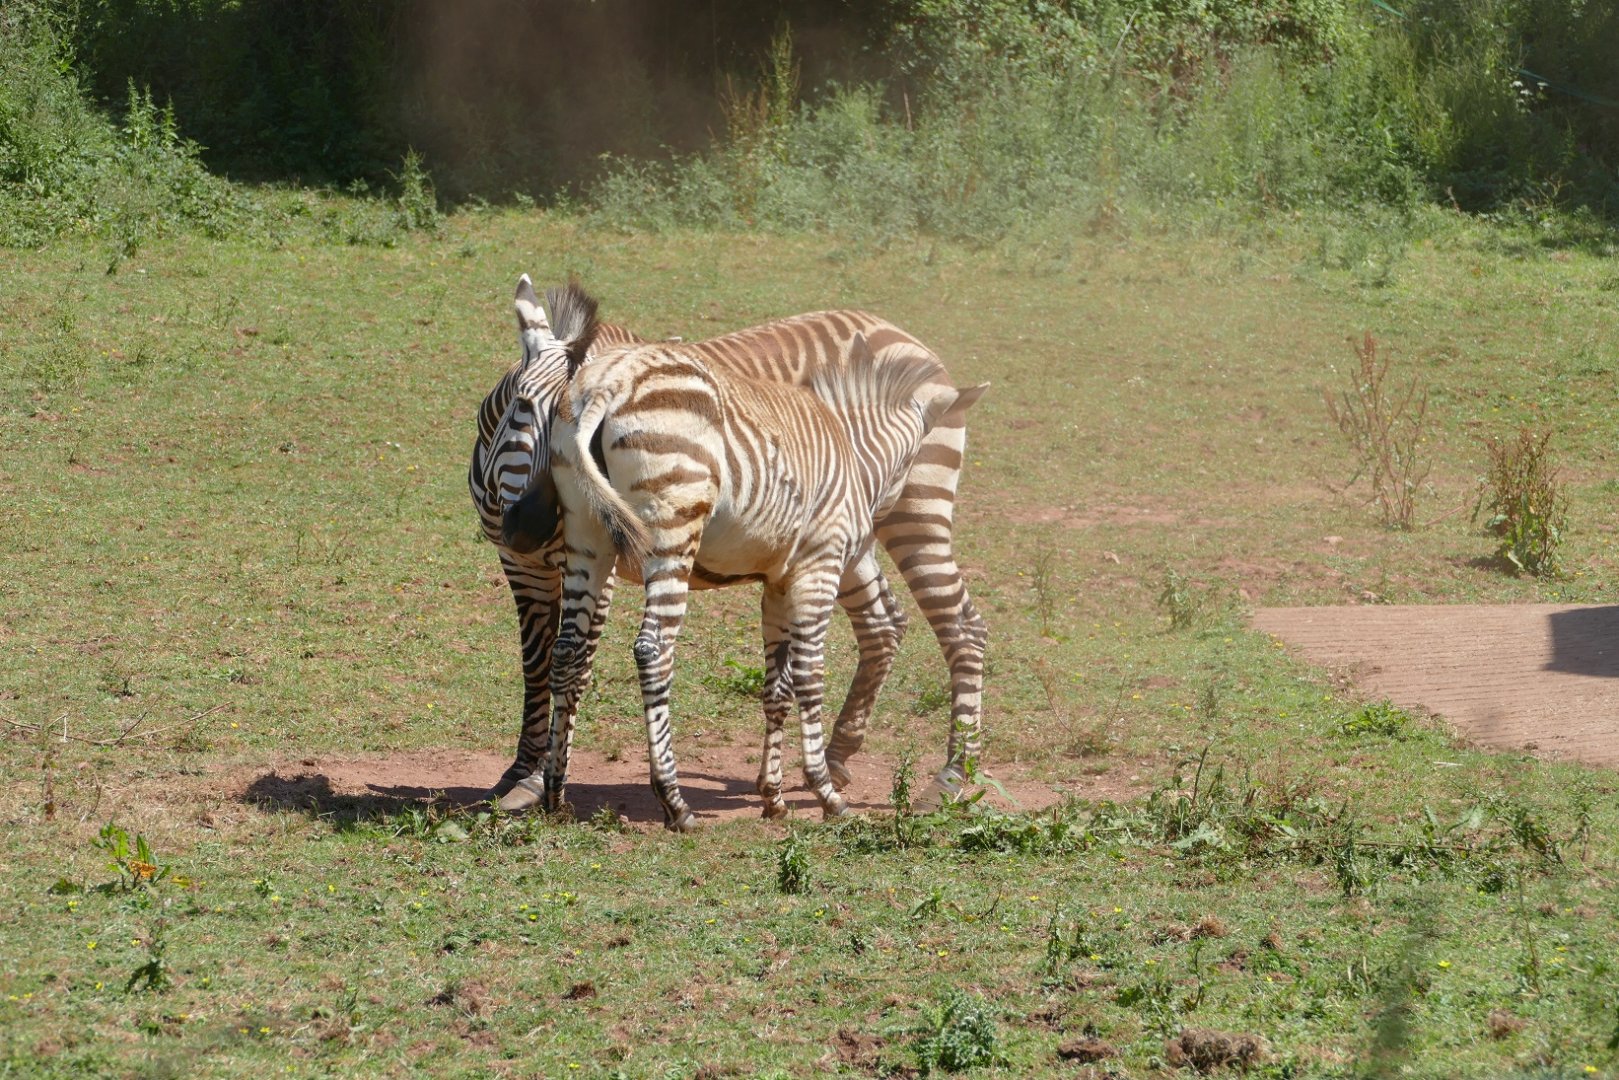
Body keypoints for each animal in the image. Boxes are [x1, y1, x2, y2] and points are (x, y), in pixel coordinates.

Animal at [470, 277, 990, 812]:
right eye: (525, 407)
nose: (529, 526)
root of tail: (900, 333)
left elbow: (574, 661)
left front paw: (535, 780)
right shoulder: (523, 565)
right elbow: (540, 663)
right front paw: (524, 775)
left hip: (911, 516)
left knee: (957, 626)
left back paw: (950, 777)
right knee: (885, 622)